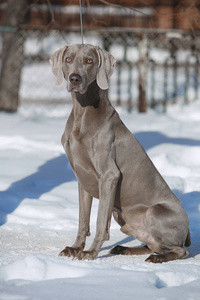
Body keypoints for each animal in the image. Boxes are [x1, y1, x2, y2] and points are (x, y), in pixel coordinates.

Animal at [49, 44, 190, 262]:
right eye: (68, 59)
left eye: (89, 61)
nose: (75, 79)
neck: (83, 112)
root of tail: (188, 230)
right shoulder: (83, 179)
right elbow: (83, 220)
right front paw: (75, 248)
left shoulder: (109, 176)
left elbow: (100, 222)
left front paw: (90, 253)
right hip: (122, 216)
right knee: (152, 245)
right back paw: (123, 249)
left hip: (153, 213)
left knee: (180, 250)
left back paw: (158, 258)